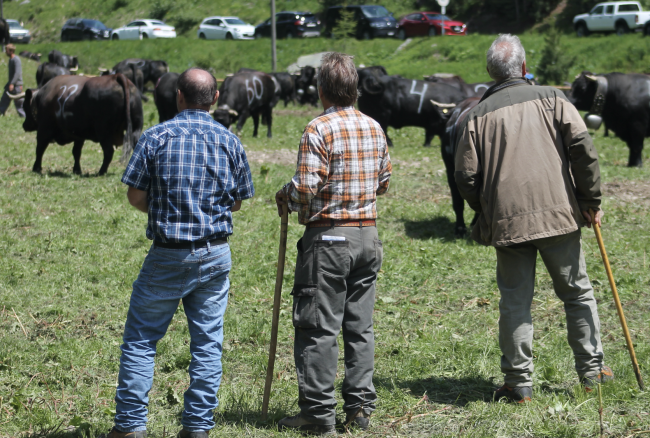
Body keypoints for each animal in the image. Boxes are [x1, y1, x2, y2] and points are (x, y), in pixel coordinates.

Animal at [10, 73, 142, 175]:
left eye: (25, 106)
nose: (24, 125)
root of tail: (116, 76)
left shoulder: (44, 130)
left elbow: (40, 149)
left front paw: (36, 168)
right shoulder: (79, 135)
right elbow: (76, 152)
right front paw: (77, 170)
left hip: (103, 131)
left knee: (108, 151)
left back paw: (101, 172)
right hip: (135, 129)